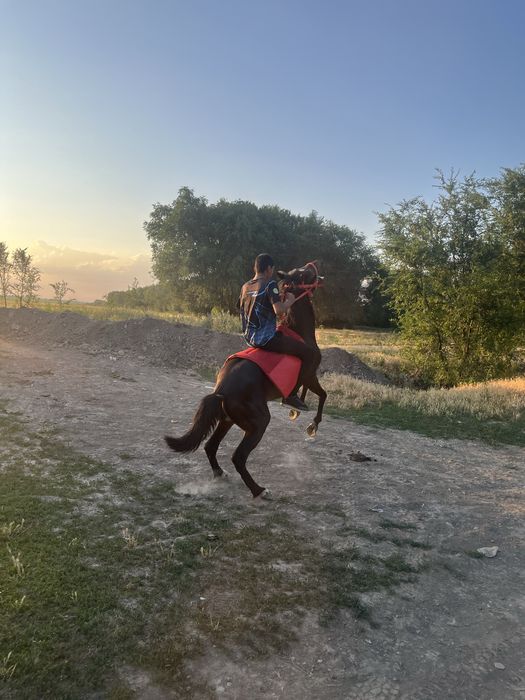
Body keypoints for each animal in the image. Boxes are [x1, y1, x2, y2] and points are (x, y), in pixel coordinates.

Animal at [164, 262, 327, 498]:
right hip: (259, 422)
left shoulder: (308, 377)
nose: (314, 267)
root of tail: (221, 390)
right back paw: (258, 490)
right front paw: (311, 423)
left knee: (210, 446)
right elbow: (322, 395)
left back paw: (220, 473)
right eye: (302, 274)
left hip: (227, 420)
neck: (298, 331)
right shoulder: (310, 373)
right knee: (238, 457)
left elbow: (308, 392)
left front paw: (297, 409)